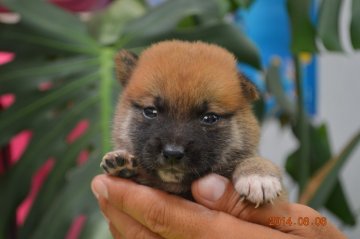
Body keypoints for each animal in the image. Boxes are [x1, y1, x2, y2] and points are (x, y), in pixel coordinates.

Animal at [100, 40, 282, 206]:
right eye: (150, 112)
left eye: (209, 118)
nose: (172, 153)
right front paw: (121, 162)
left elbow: (253, 159)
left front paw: (258, 175)